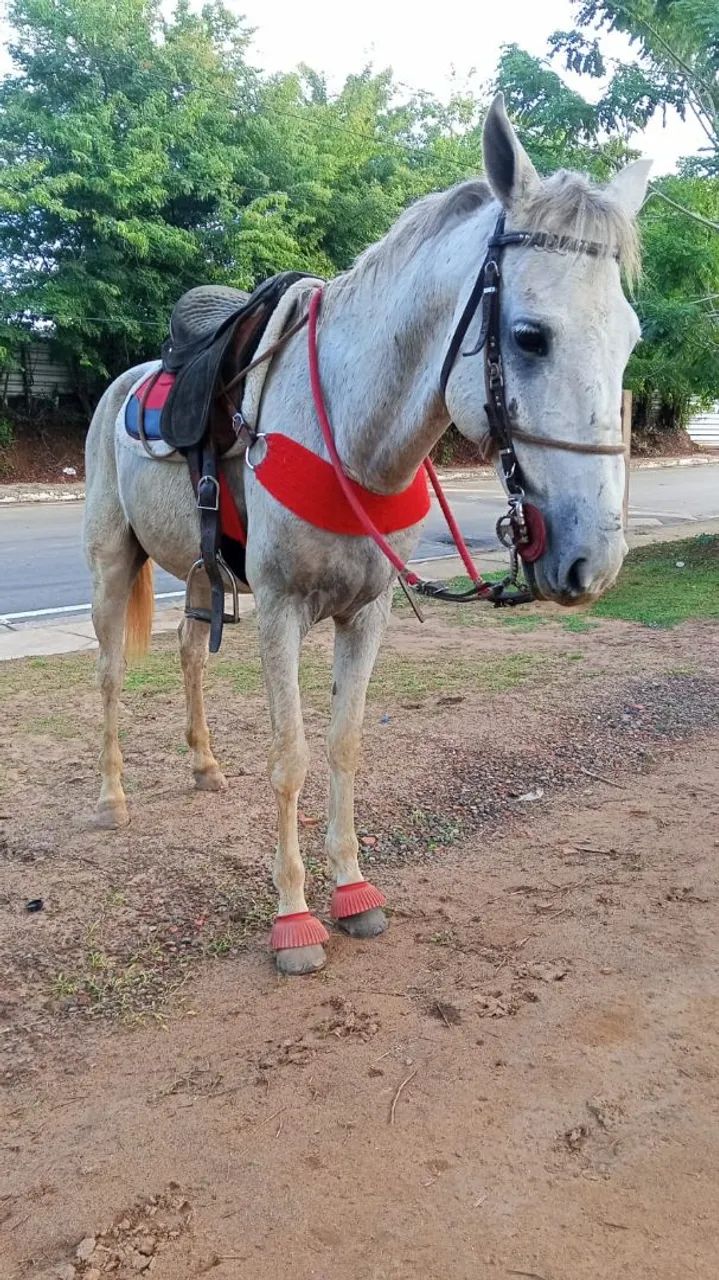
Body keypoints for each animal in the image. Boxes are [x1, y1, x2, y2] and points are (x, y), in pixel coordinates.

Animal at [83, 94, 651, 975]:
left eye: (628, 338)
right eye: (529, 336)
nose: (592, 560)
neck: (349, 433)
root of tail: (129, 382)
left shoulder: (368, 613)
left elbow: (344, 745)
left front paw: (351, 889)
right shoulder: (280, 611)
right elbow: (290, 756)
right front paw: (292, 917)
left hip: (202, 573)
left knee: (186, 652)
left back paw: (204, 764)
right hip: (115, 561)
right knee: (111, 672)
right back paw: (112, 798)